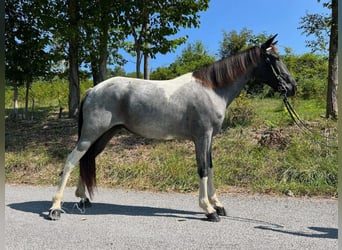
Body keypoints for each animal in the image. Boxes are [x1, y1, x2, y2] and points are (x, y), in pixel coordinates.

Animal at [48, 34, 296, 222]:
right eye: (274, 58)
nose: (292, 86)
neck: (212, 89)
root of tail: (93, 90)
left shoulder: (209, 139)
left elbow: (211, 168)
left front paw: (218, 205)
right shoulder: (201, 137)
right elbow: (202, 169)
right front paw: (208, 209)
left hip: (105, 135)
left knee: (86, 159)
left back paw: (83, 199)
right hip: (90, 135)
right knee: (71, 161)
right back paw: (55, 208)